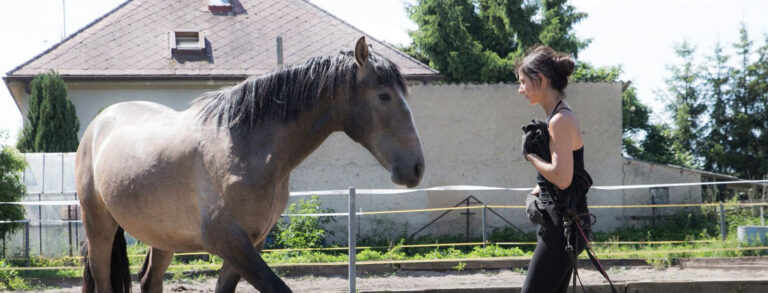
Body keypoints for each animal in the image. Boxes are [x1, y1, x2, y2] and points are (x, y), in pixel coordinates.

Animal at [76, 37, 426, 292]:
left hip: (162, 234)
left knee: (150, 280)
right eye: (383, 96)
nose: (416, 167)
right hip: (99, 225)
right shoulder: (230, 241)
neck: (244, 145)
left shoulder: (249, 242)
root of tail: (98, 124)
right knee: (104, 280)